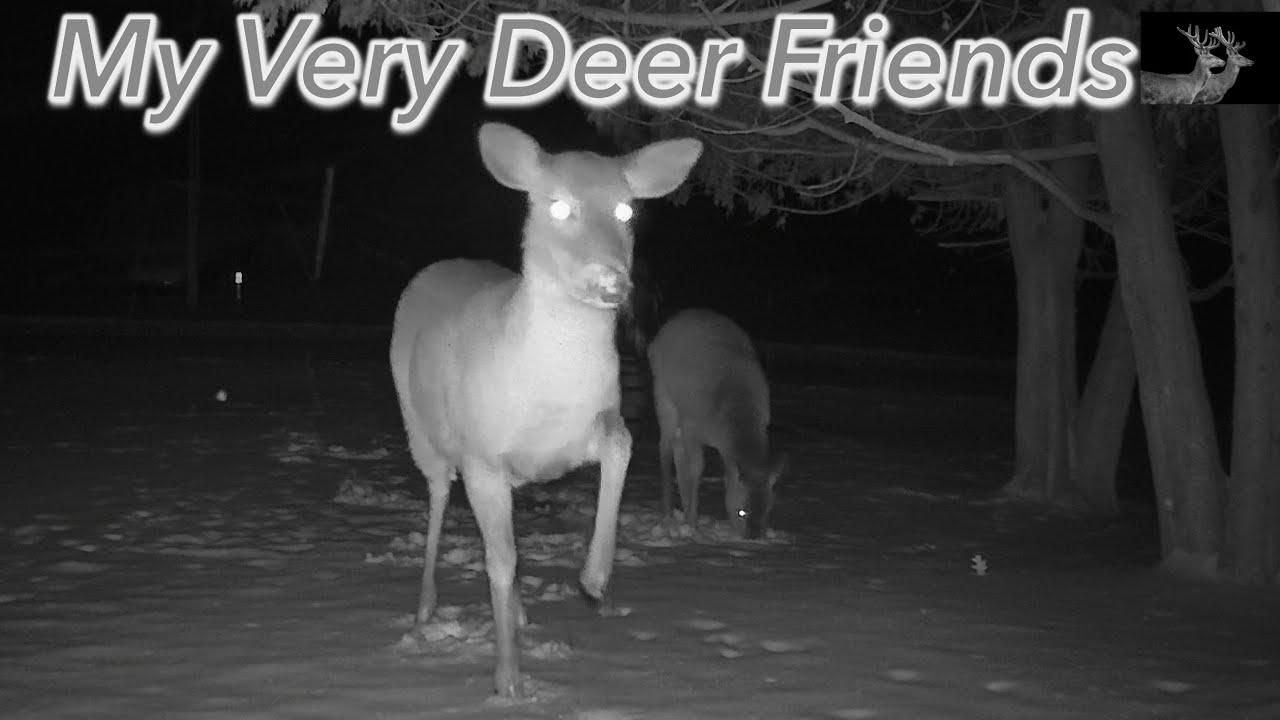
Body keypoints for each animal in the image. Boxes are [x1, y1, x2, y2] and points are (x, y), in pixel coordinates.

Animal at [388, 122, 702, 700]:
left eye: (627, 210)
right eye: (557, 206)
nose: (612, 281)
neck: (550, 389)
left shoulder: (594, 423)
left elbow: (623, 447)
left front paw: (595, 577)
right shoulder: (483, 456)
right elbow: (498, 561)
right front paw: (508, 679)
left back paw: (520, 614)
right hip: (422, 431)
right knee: (439, 496)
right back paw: (425, 610)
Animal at [647, 308, 787, 540]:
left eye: (768, 509)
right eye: (742, 512)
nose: (753, 537)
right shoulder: (692, 426)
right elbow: (695, 469)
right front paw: (691, 523)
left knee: (676, 449)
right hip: (664, 397)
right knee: (665, 448)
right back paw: (667, 513)